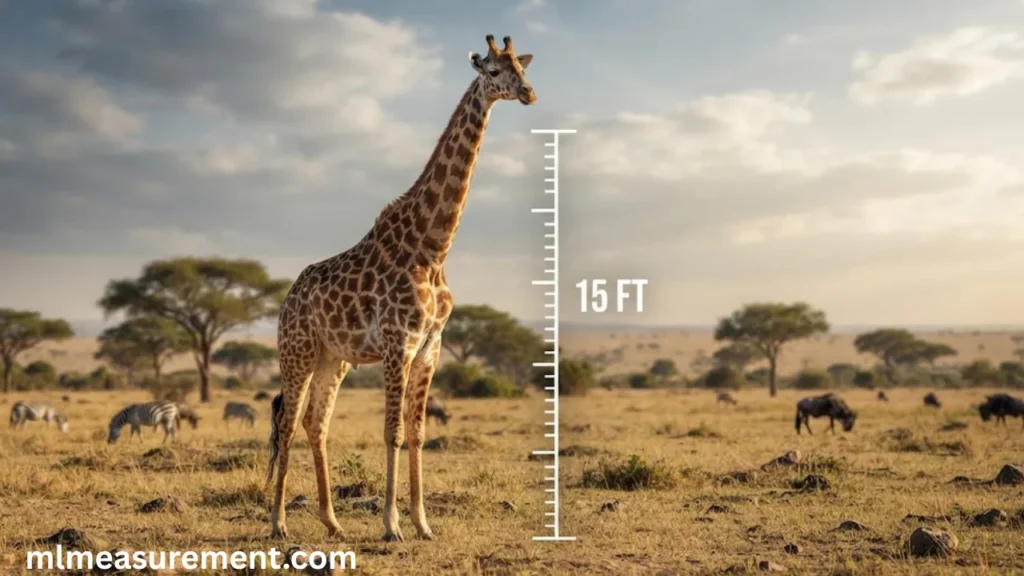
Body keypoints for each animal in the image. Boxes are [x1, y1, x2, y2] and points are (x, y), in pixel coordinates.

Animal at [264, 34, 536, 542]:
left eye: (522, 68)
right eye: (492, 71)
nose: (528, 94)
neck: (433, 247)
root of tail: (287, 298)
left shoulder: (431, 346)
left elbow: (417, 433)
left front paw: (423, 524)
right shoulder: (398, 343)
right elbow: (391, 431)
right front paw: (391, 525)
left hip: (335, 358)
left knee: (315, 422)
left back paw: (332, 522)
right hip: (297, 351)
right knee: (288, 423)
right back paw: (278, 523)